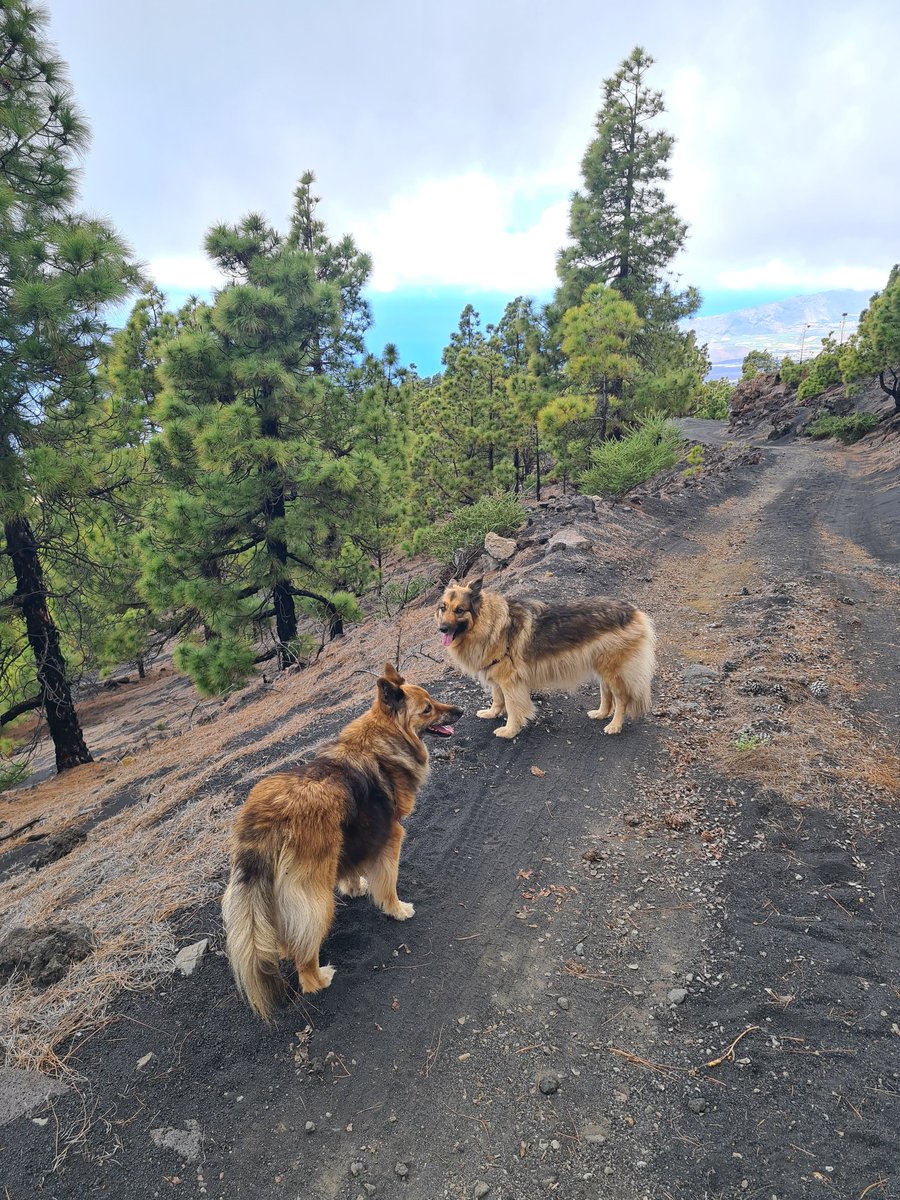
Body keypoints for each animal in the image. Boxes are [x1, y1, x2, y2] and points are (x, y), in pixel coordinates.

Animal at [220, 672, 460, 1017]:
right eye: (428, 708)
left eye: (433, 700)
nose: (460, 712)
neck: (381, 742)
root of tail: (266, 818)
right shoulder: (391, 838)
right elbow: (388, 885)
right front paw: (397, 910)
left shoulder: (352, 837)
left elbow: (351, 868)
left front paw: (354, 887)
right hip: (316, 895)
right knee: (306, 954)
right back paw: (318, 978)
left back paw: (282, 949)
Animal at [436, 580, 657, 739]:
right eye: (443, 608)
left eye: (459, 610)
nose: (442, 629)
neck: (489, 623)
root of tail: (635, 612)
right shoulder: (496, 675)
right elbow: (497, 699)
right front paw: (492, 713)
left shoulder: (509, 681)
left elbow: (513, 707)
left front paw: (509, 731)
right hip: (602, 667)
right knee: (607, 693)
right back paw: (601, 713)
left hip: (614, 670)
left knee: (622, 699)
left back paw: (614, 725)